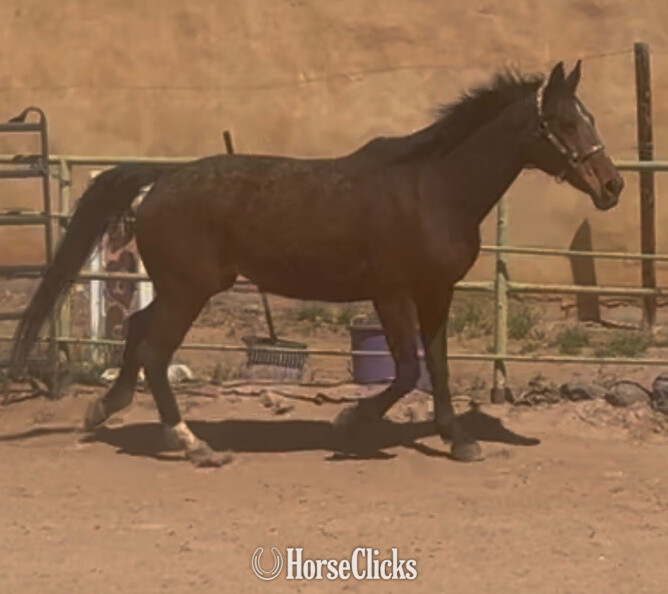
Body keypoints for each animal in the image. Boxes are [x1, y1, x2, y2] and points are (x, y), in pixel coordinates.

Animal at [9, 60, 623, 466]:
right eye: (565, 123)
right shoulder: (392, 293)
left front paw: (459, 440)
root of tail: (162, 179)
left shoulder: (435, 292)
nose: (612, 186)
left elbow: (438, 366)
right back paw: (193, 444)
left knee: (136, 331)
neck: (432, 188)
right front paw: (349, 423)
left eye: (590, 116)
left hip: (178, 287)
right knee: (156, 349)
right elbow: (407, 370)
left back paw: (107, 409)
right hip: (189, 290)